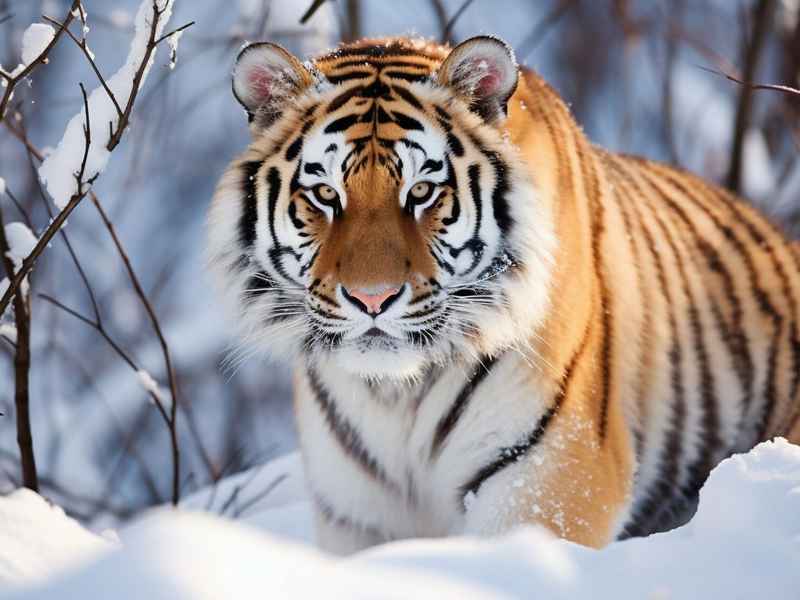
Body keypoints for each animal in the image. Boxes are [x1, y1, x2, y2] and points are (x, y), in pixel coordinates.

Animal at [206, 35, 800, 554]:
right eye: (326, 194)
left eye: (422, 191)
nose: (372, 299)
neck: (396, 395)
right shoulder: (358, 511)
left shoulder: (552, 472)